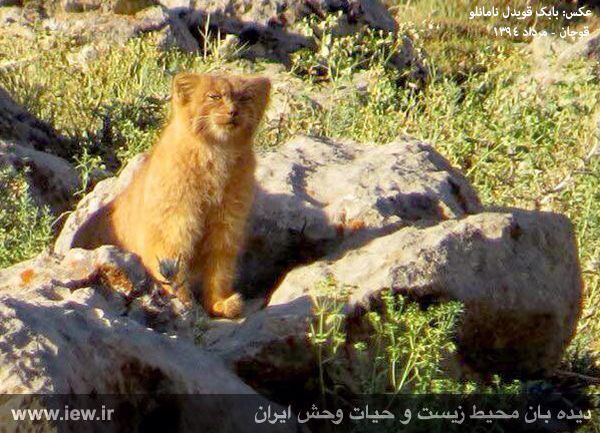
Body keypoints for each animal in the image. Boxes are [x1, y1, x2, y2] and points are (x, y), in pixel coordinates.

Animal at [72, 72, 272, 318]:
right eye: (214, 96)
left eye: (245, 97)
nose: (233, 111)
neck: (217, 161)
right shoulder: (173, 225)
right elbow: (172, 272)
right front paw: (186, 305)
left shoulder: (226, 225)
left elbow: (219, 271)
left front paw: (221, 304)